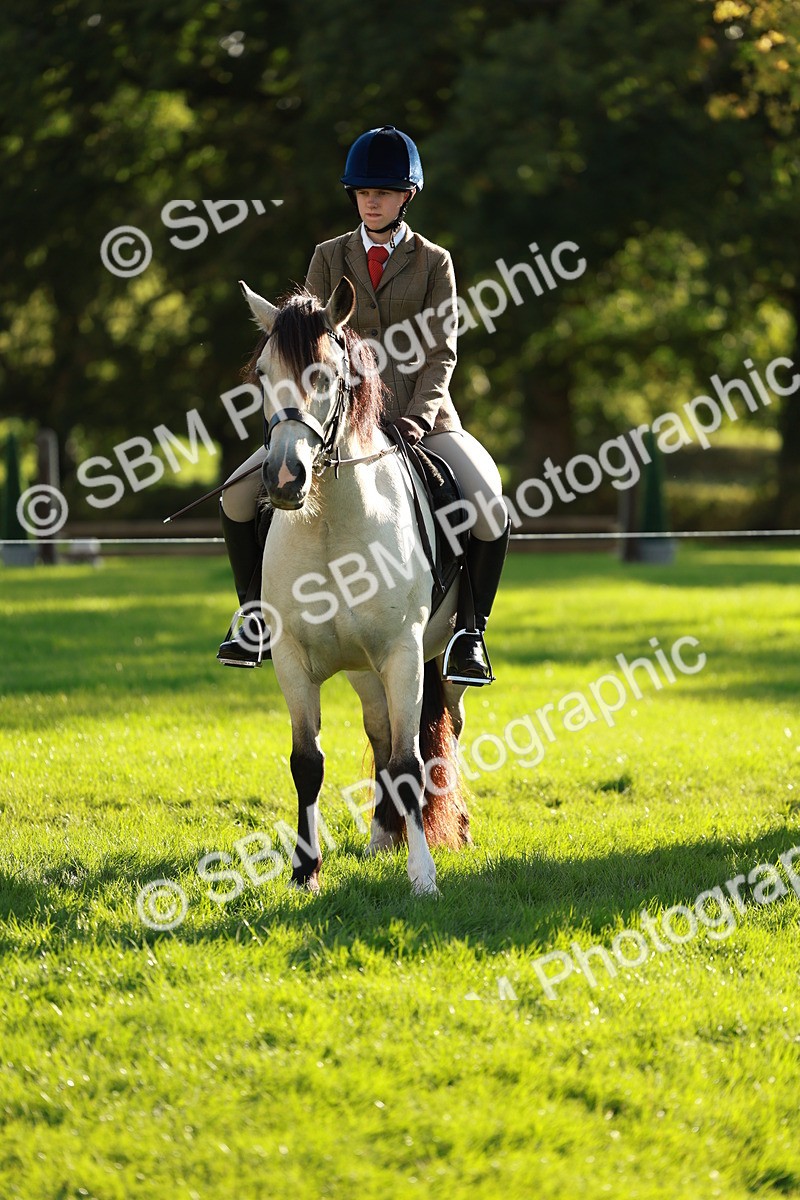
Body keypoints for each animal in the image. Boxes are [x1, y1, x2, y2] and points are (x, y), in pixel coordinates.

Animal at [238, 275, 471, 895]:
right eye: (263, 372)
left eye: (324, 374)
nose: (284, 478)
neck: (329, 525)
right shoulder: (293, 660)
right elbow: (308, 762)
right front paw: (305, 872)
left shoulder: (403, 655)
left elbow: (412, 765)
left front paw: (423, 877)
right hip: (365, 672)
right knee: (381, 737)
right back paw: (382, 836)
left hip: (434, 659)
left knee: (446, 730)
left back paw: (455, 832)